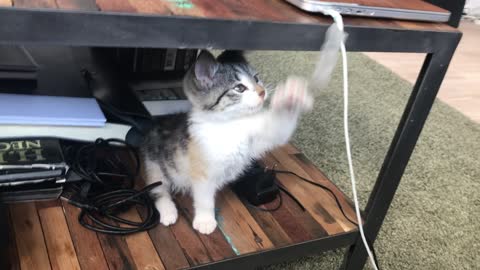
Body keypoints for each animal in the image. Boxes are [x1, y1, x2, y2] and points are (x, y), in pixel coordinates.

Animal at [141, 50, 314, 234]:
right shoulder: (202, 172)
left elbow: (279, 131)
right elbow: (204, 199)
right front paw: (205, 221)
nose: (262, 92)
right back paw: (168, 212)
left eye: (256, 78)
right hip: (155, 166)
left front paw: (292, 96)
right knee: (157, 189)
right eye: (239, 88)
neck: (231, 124)